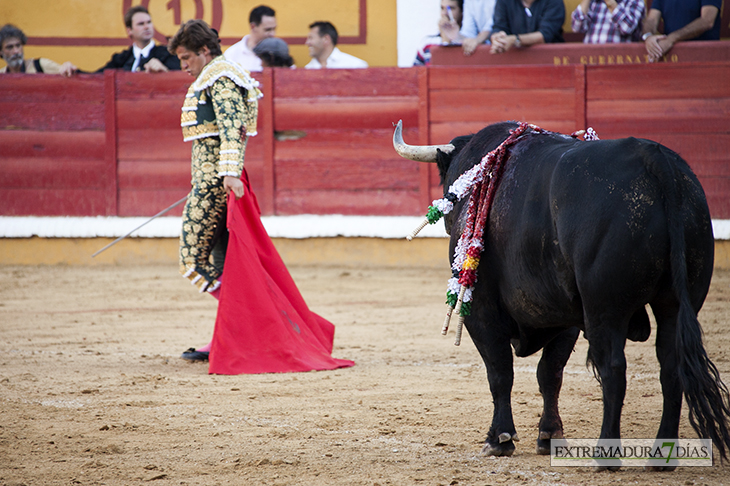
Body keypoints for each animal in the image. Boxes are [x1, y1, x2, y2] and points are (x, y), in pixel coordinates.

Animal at [392, 120, 728, 464]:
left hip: (605, 307)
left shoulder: (483, 312)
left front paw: (499, 438)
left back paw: (606, 454)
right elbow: (550, 374)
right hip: (676, 302)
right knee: (671, 366)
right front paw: (549, 434)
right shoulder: (563, 316)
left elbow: (500, 371)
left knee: (613, 368)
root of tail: (656, 160)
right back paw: (662, 456)